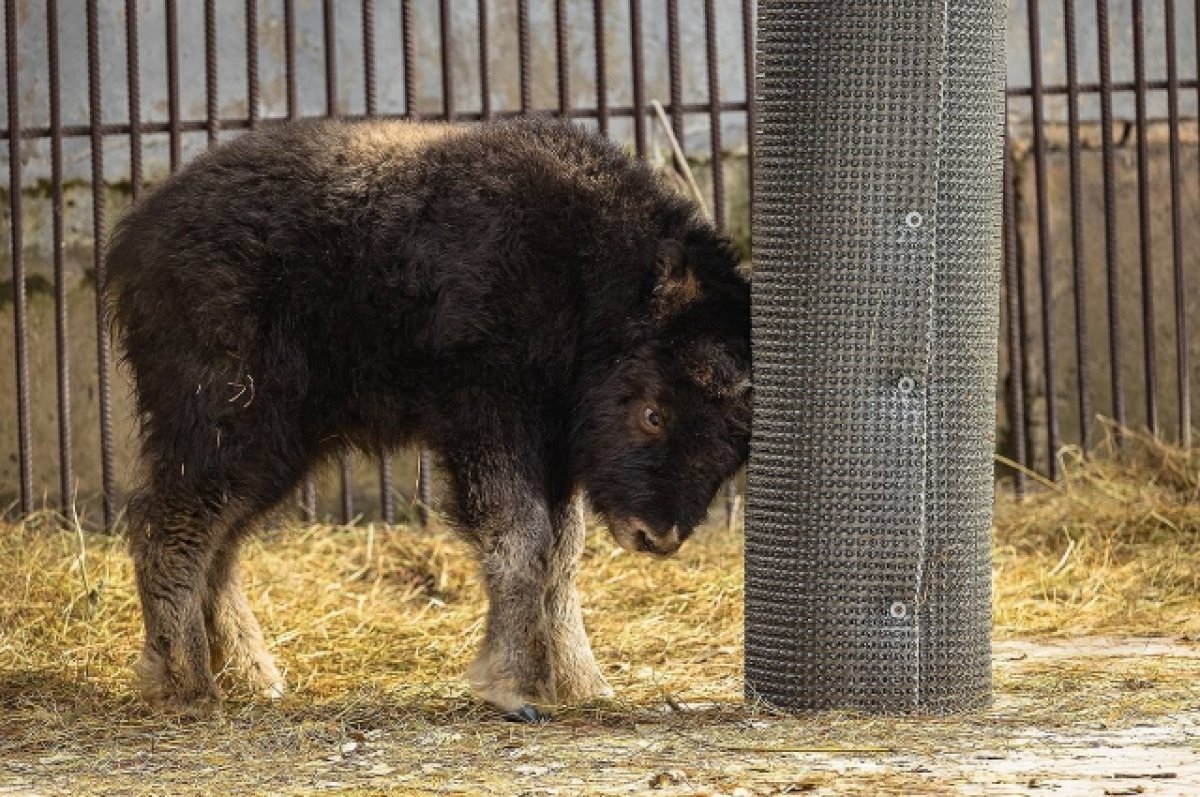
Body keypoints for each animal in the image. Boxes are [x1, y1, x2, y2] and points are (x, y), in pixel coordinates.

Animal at [110, 120, 748, 720]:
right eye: (653, 414)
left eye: (737, 443)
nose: (656, 536)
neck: (584, 274)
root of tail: (137, 234)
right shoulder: (488, 421)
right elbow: (523, 539)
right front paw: (515, 689)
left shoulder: (555, 452)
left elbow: (562, 556)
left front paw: (583, 684)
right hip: (231, 427)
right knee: (171, 521)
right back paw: (186, 683)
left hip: (279, 452)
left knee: (221, 541)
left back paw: (251, 676)